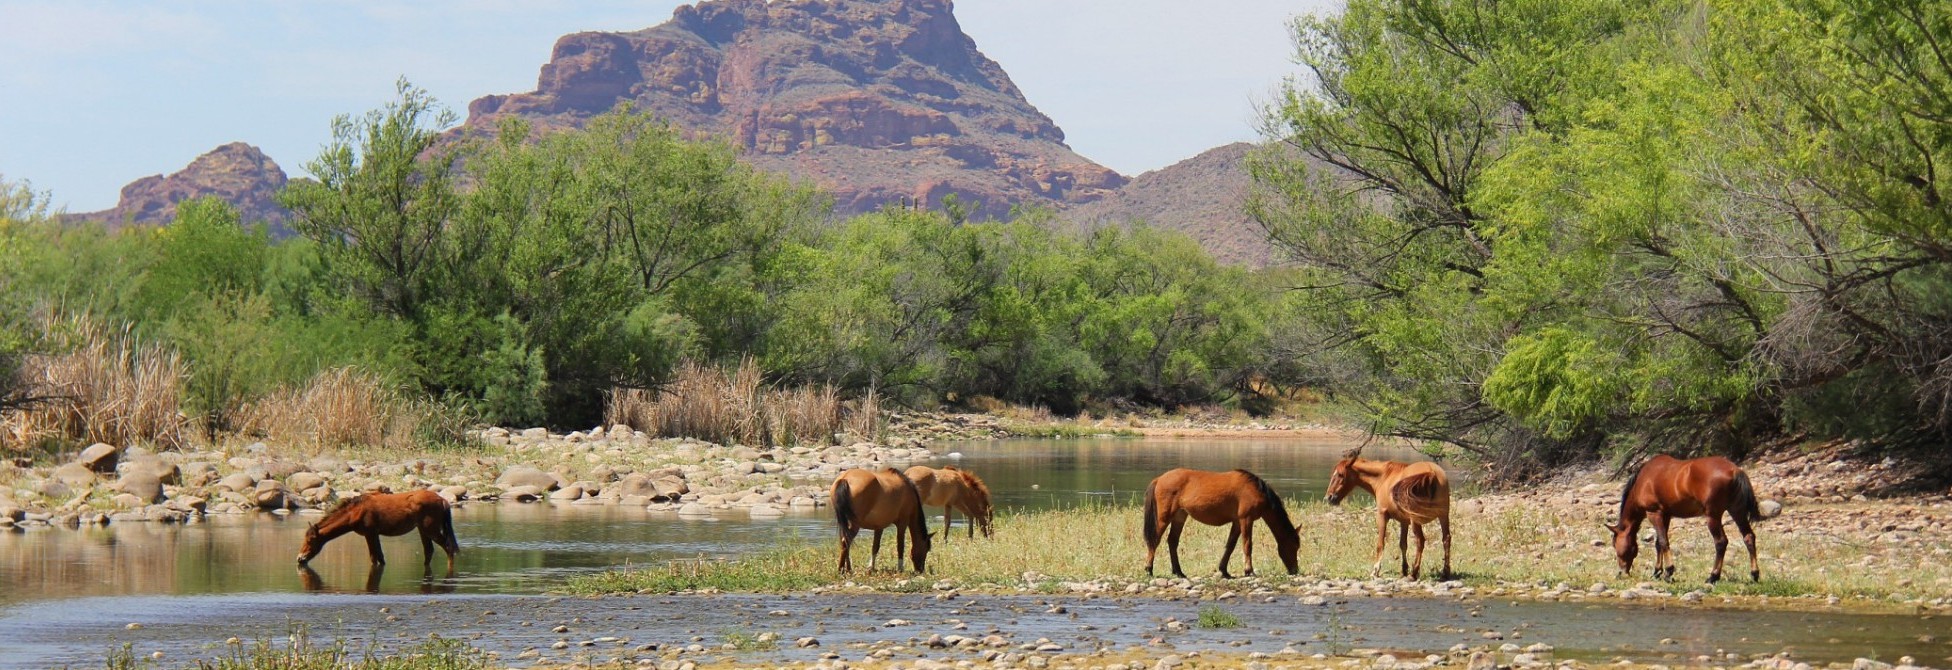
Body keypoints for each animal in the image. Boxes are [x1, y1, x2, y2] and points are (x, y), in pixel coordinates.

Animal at [295, 489, 460, 571]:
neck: (356, 511)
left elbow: (374, 557)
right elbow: (380, 557)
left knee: (448, 547)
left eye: (310, 540)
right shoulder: (374, 535)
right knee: (429, 551)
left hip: (430, 529)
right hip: (423, 530)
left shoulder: (370, 534)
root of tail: (442, 500)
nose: (300, 558)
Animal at [1142, 468, 1300, 578]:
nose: (1295, 570)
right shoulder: (1246, 519)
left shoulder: (1237, 522)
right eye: (1294, 546)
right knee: (1155, 540)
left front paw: (1224, 570)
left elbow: (1230, 545)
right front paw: (1249, 570)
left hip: (1180, 516)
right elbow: (1247, 545)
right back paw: (1149, 569)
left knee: (1172, 541)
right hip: (1164, 517)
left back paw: (1179, 572)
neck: (1256, 490)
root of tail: (1159, 479)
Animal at [1324, 448, 1452, 580]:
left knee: (1420, 541)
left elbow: (1380, 543)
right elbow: (1403, 544)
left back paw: (1414, 573)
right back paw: (1445, 572)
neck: (1384, 477)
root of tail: (1431, 473)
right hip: (1443, 516)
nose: (1329, 497)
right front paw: (1404, 569)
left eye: (1340, 474)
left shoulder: (1382, 515)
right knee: (1446, 539)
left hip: (1416, 520)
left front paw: (1376, 570)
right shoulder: (1404, 521)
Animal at [1607, 454, 1760, 583]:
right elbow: (1658, 544)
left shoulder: (1654, 514)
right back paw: (1754, 574)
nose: (1621, 572)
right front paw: (1657, 572)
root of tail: (1735, 470)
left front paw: (1668, 572)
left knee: (1721, 542)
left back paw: (1713, 576)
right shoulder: (1666, 515)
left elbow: (1663, 542)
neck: (1643, 479)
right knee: (1748, 536)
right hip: (1737, 511)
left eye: (1615, 544)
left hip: (1713, 516)